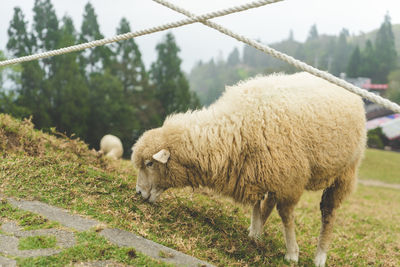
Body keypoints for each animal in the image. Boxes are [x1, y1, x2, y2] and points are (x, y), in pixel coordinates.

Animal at [133, 73, 368, 267]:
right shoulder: (254, 171)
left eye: (150, 163)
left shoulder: (290, 179)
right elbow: (257, 205)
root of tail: (346, 86)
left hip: (345, 172)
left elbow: (286, 217)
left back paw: (320, 256)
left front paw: (292, 253)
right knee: (270, 201)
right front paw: (255, 232)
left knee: (328, 213)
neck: (232, 129)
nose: (138, 192)